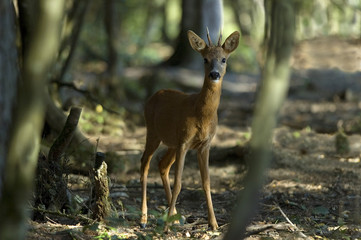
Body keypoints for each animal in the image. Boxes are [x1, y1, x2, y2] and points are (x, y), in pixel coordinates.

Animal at [140, 29, 239, 230]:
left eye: (224, 59)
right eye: (205, 59)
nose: (214, 74)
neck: (201, 114)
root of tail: (154, 95)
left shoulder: (204, 145)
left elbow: (206, 182)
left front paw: (214, 224)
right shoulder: (184, 142)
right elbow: (179, 183)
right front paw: (166, 228)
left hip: (171, 142)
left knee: (162, 165)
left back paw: (176, 216)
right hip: (153, 132)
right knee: (144, 164)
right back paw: (144, 219)